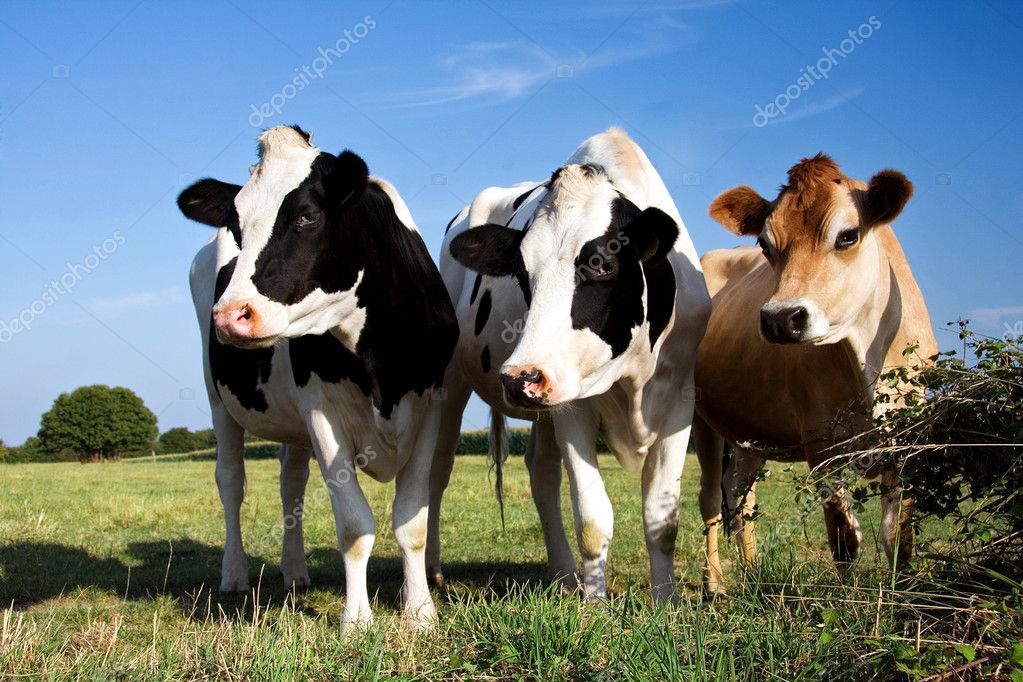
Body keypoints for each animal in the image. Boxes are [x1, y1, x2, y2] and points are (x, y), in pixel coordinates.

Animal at [177, 125, 457, 630]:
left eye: (307, 216)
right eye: (236, 225)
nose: (229, 316)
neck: (379, 361)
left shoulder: (429, 406)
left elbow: (411, 521)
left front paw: (420, 613)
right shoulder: (323, 414)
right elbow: (355, 526)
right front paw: (357, 621)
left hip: (292, 419)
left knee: (291, 484)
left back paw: (294, 572)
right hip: (217, 396)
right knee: (230, 481)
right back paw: (234, 575)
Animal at [426, 128, 712, 603]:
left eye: (602, 264)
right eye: (521, 274)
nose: (519, 377)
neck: (631, 375)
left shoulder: (679, 401)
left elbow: (662, 519)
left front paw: (666, 602)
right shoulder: (574, 406)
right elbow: (593, 518)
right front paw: (596, 606)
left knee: (541, 475)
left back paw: (562, 576)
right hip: (451, 383)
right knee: (438, 469)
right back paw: (432, 569)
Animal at [692, 154, 937, 594]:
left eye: (848, 236)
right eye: (765, 244)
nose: (779, 318)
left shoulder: (910, 441)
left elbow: (898, 533)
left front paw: (903, 592)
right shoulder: (820, 444)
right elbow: (844, 535)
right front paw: (845, 601)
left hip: (750, 432)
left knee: (740, 495)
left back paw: (752, 571)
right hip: (700, 419)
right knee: (710, 501)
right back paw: (715, 582)